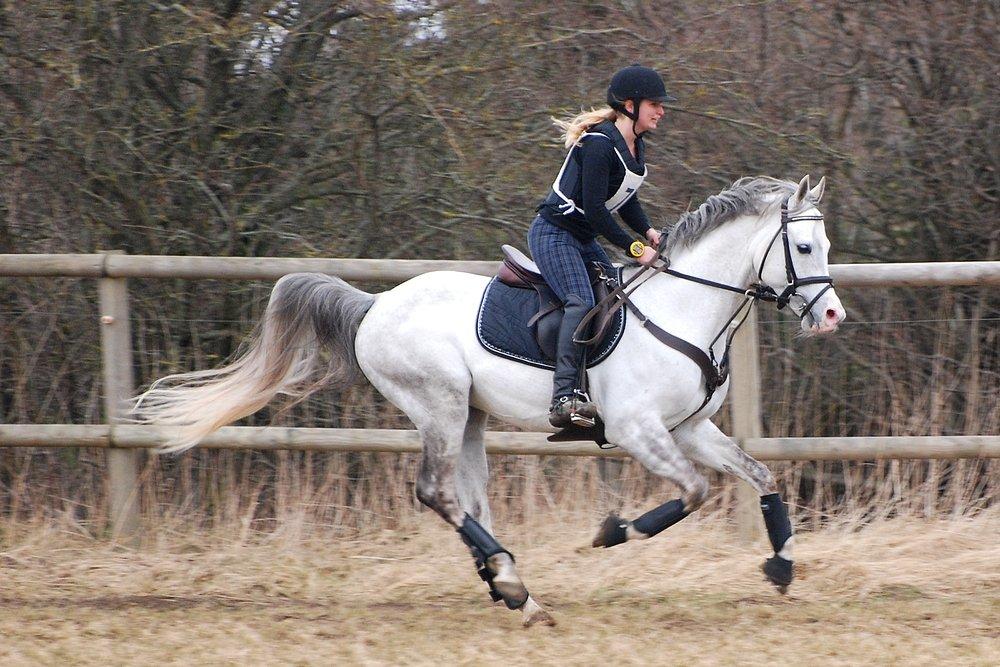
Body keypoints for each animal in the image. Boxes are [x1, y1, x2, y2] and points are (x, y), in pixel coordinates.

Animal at [135, 176, 844, 628]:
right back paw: (510, 583)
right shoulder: (639, 429)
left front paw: (781, 566)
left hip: (470, 417)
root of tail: (374, 305)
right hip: (441, 406)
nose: (832, 316)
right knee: (436, 493)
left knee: (470, 503)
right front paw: (614, 532)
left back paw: (509, 585)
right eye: (804, 247)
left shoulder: (690, 429)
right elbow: (694, 493)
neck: (685, 308)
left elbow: (760, 474)